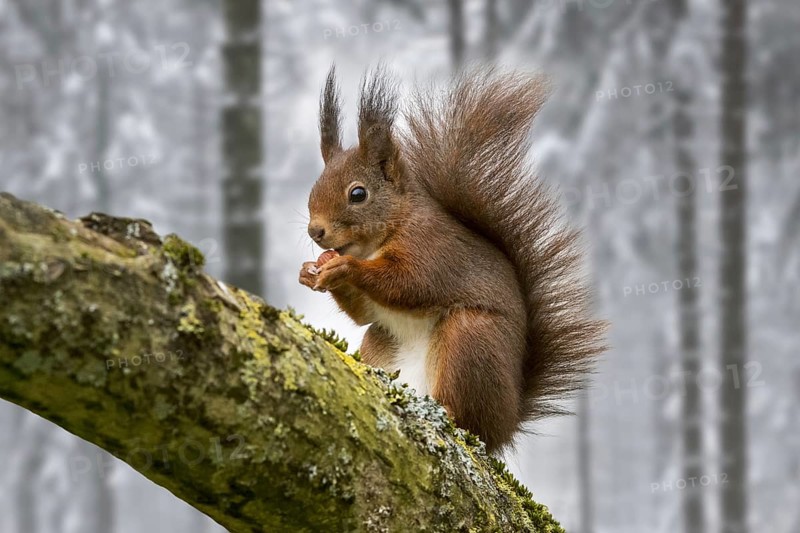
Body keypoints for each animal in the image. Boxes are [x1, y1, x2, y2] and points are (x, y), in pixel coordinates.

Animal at [298, 66, 606, 453]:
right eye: (313, 188)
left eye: (358, 194)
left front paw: (345, 268)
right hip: (381, 341)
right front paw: (309, 273)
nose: (315, 231)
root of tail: (506, 424)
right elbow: (364, 313)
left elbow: (410, 285)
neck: (389, 231)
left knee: (469, 417)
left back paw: (449, 412)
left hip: (470, 338)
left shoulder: (432, 249)